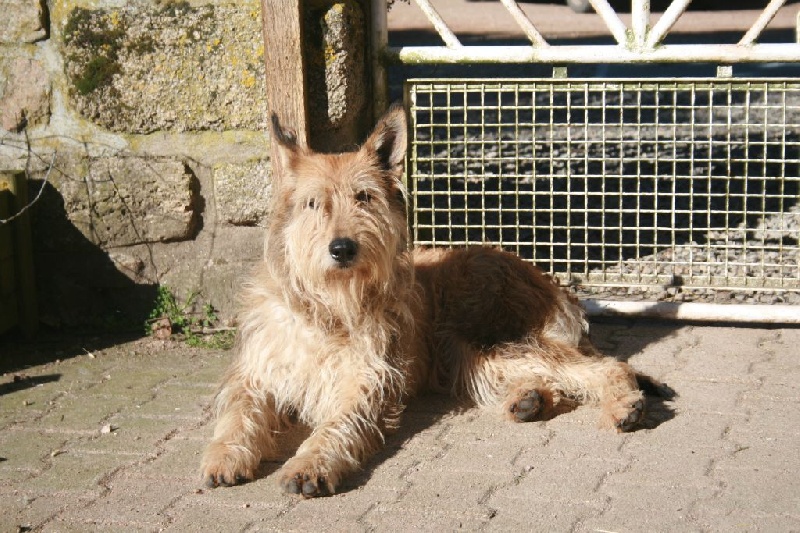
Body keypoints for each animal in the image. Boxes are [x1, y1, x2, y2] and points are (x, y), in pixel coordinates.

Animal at [200, 105, 656, 498]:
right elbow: (237, 412)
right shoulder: (256, 371)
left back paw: (622, 405)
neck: (328, 307)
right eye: (314, 203)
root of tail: (552, 283)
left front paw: (309, 464)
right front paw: (223, 454)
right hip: (467, 354)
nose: (342, 248)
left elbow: (336, 425)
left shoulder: (366, 378)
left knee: (604, 366)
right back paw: (527, 400)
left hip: (490, 335)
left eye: (364, 197)